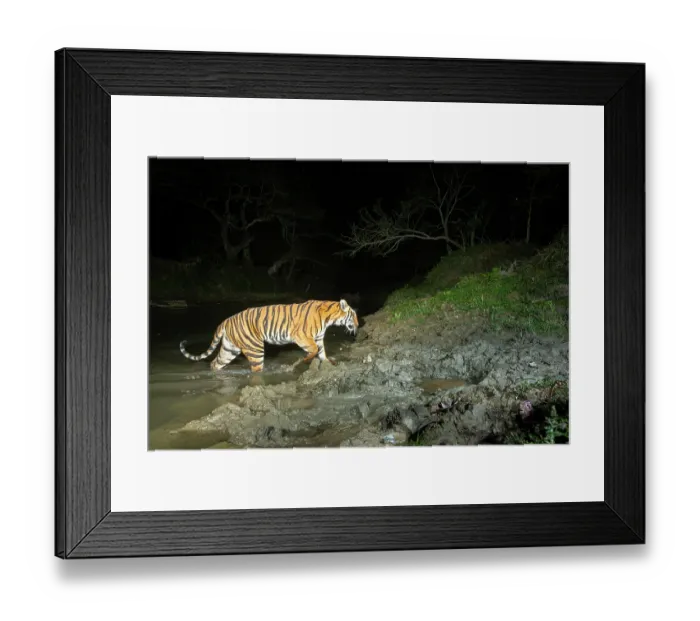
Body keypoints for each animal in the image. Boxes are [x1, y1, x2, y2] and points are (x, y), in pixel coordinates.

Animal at [179, 299, 359, 373]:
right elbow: (314, 350)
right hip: (255, 349)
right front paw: (305, 360)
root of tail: (226, 320)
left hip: (230, 349)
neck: (329, 318)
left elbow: (322, 352)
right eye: (354, 316)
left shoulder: (318, 338)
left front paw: (329, 363)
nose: (358, 324)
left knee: (215, 363)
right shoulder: (302, 336)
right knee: (256, 369)